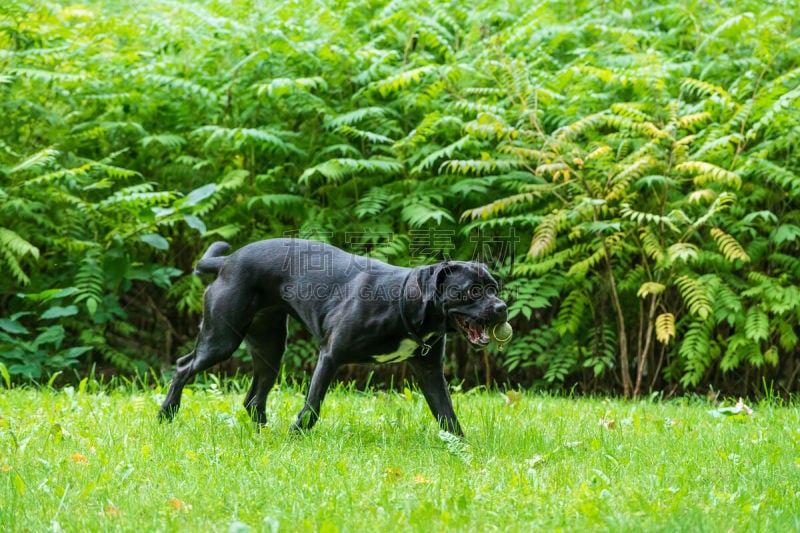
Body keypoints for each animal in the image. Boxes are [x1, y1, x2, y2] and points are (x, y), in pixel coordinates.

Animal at [159, 239, 506, 434]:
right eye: (472, 291)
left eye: (493, 288)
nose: (502, 308)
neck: (403, 303)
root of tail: (226, 262)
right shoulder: (330, 355)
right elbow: (312, 404)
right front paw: (296, 436)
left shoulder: (430, 372)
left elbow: (446, 413)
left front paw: (461, 448)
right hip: (221, 340)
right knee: (183, 366)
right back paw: (166, 413)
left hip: (270, 349)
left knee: (253, 399)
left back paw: (263, 435)